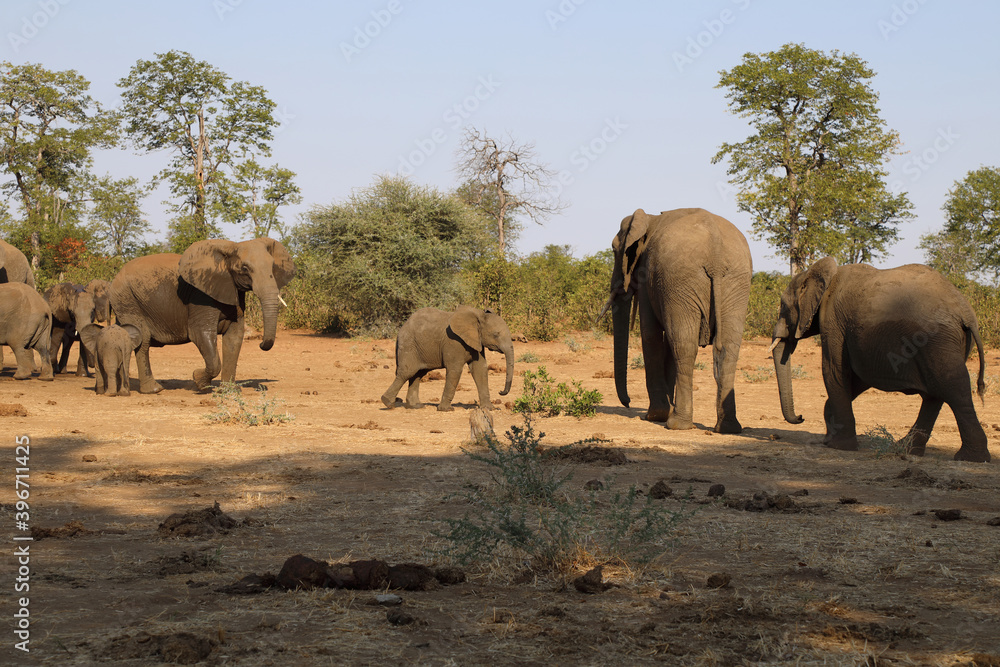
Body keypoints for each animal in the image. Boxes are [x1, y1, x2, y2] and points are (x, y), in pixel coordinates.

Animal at [111, 237, 296, 394]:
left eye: (272, 267)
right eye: (244, 268)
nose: (261, 344)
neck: (231, 248)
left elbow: (234, 337)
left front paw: (229, 391)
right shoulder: (200, 296)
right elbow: (200, 334)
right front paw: (199, 382)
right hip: (127, 299)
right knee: (143, 340)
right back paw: (154, 390)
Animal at [378, 306, 512, 410]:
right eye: (496, 334)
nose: (501, 392)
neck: (478, 315)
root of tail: (402, 328)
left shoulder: (476, 342)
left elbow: (480, 370)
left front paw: (490, 409)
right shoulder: (454, 342)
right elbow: (455, 371)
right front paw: (446, 409)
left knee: (418, 374)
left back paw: (415, 406)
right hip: (408, 345)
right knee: (407, 372)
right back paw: (388, 403)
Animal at [600, 210, 752, 438]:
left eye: (614, 249)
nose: (627, 403)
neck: (650, 218)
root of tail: (716, 251)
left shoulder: (648, 273)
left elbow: (651, 335)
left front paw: (655, 416)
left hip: (680, 279)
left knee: (684, 346)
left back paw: (676, 424)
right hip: (735, 283)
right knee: (727, 349)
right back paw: (728, 428)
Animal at [768, 258, 988, 464]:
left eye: (783, 306)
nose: (801, 417)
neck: (818, 273)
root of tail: (966, 312)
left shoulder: (832, 319)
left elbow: (834, 370)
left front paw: (839, 446)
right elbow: (857, 378)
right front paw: (830, 437)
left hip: (935, 338)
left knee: (952, 387)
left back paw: (970, 458)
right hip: (950, 342)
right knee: (935, 393)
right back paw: (906, 449)